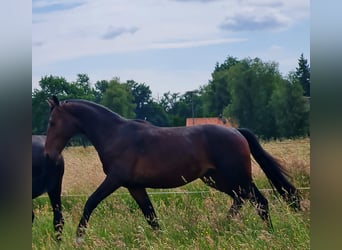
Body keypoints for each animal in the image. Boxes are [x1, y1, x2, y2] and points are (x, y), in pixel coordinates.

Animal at [44, 95, 300, 242]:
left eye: (52, 122)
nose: (48, 154)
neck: (114, 134)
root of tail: (236, 131)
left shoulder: (115, 180)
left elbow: (90, 202)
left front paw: (78, 238)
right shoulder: (134, 186)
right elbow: (151, 216)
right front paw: (161, 239)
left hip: (236, 178)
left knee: (259, 202)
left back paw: (267, 234)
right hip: (218, 179)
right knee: (241, 201)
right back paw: (222, 227)